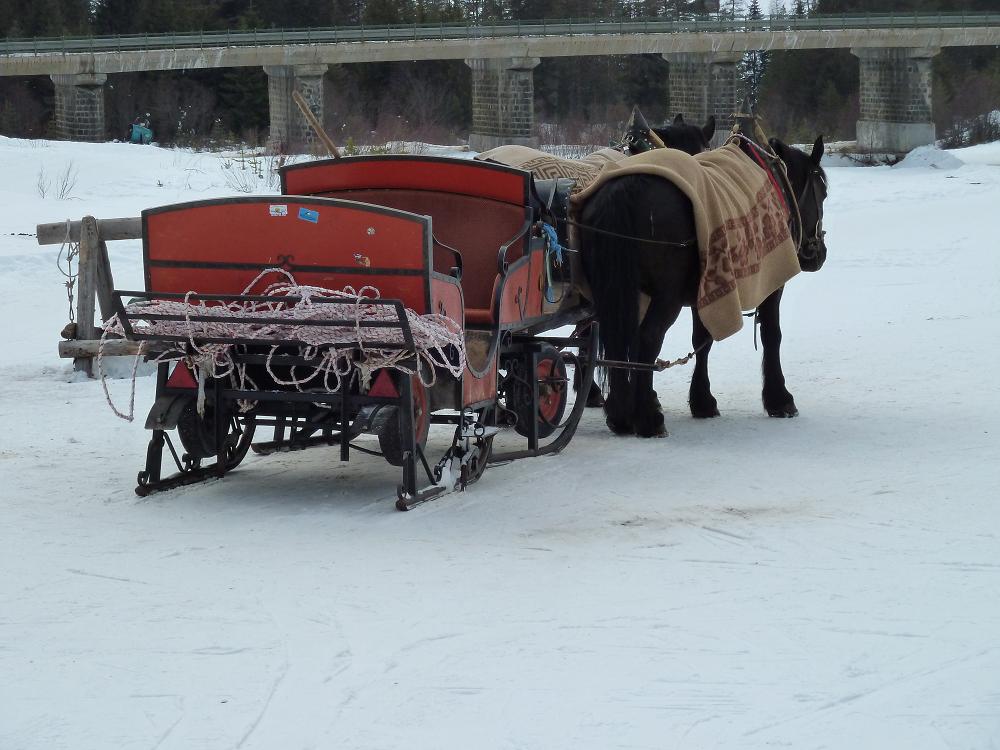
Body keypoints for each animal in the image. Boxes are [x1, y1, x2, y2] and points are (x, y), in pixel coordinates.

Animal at [580, 137, 828, 434]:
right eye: (823, 194)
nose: (819, 254)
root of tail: (624, 188)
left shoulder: (709, 288)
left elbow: (701, 341)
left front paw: (702, 400)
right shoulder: (771, 284)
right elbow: (772, 335)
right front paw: (779, 399)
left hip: (614, 293)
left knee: (613, 340)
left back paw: (620, 414)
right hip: (666, 296)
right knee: (647, 338)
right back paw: (648, 418)